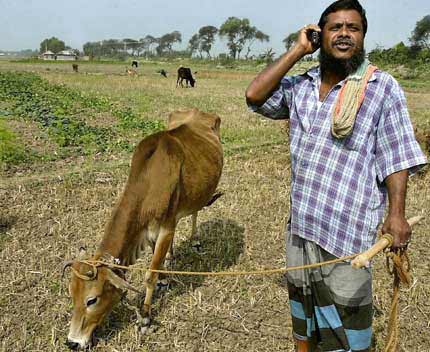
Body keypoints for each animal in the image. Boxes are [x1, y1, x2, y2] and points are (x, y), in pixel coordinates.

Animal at [63, 108, 225, 350]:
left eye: (92, 299)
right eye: (71, 294)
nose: (72, 342)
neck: (150, 182)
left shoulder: (166, 228)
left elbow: (150, 274)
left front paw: (146, 317)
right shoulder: (147, 233)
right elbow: (156, 262)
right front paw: (165, 278)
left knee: (196, 211)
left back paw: (195, 240)